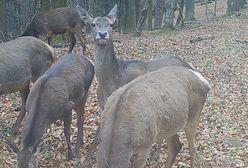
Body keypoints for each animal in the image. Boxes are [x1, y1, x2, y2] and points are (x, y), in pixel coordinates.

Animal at [77, 4, 196, 165]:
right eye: (93, 24)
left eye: (111, 24)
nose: (102, 34)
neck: (110, 83)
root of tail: (187, 64)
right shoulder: (103, 106)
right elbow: (98, 135)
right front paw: (85, 160)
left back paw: (156, 154)